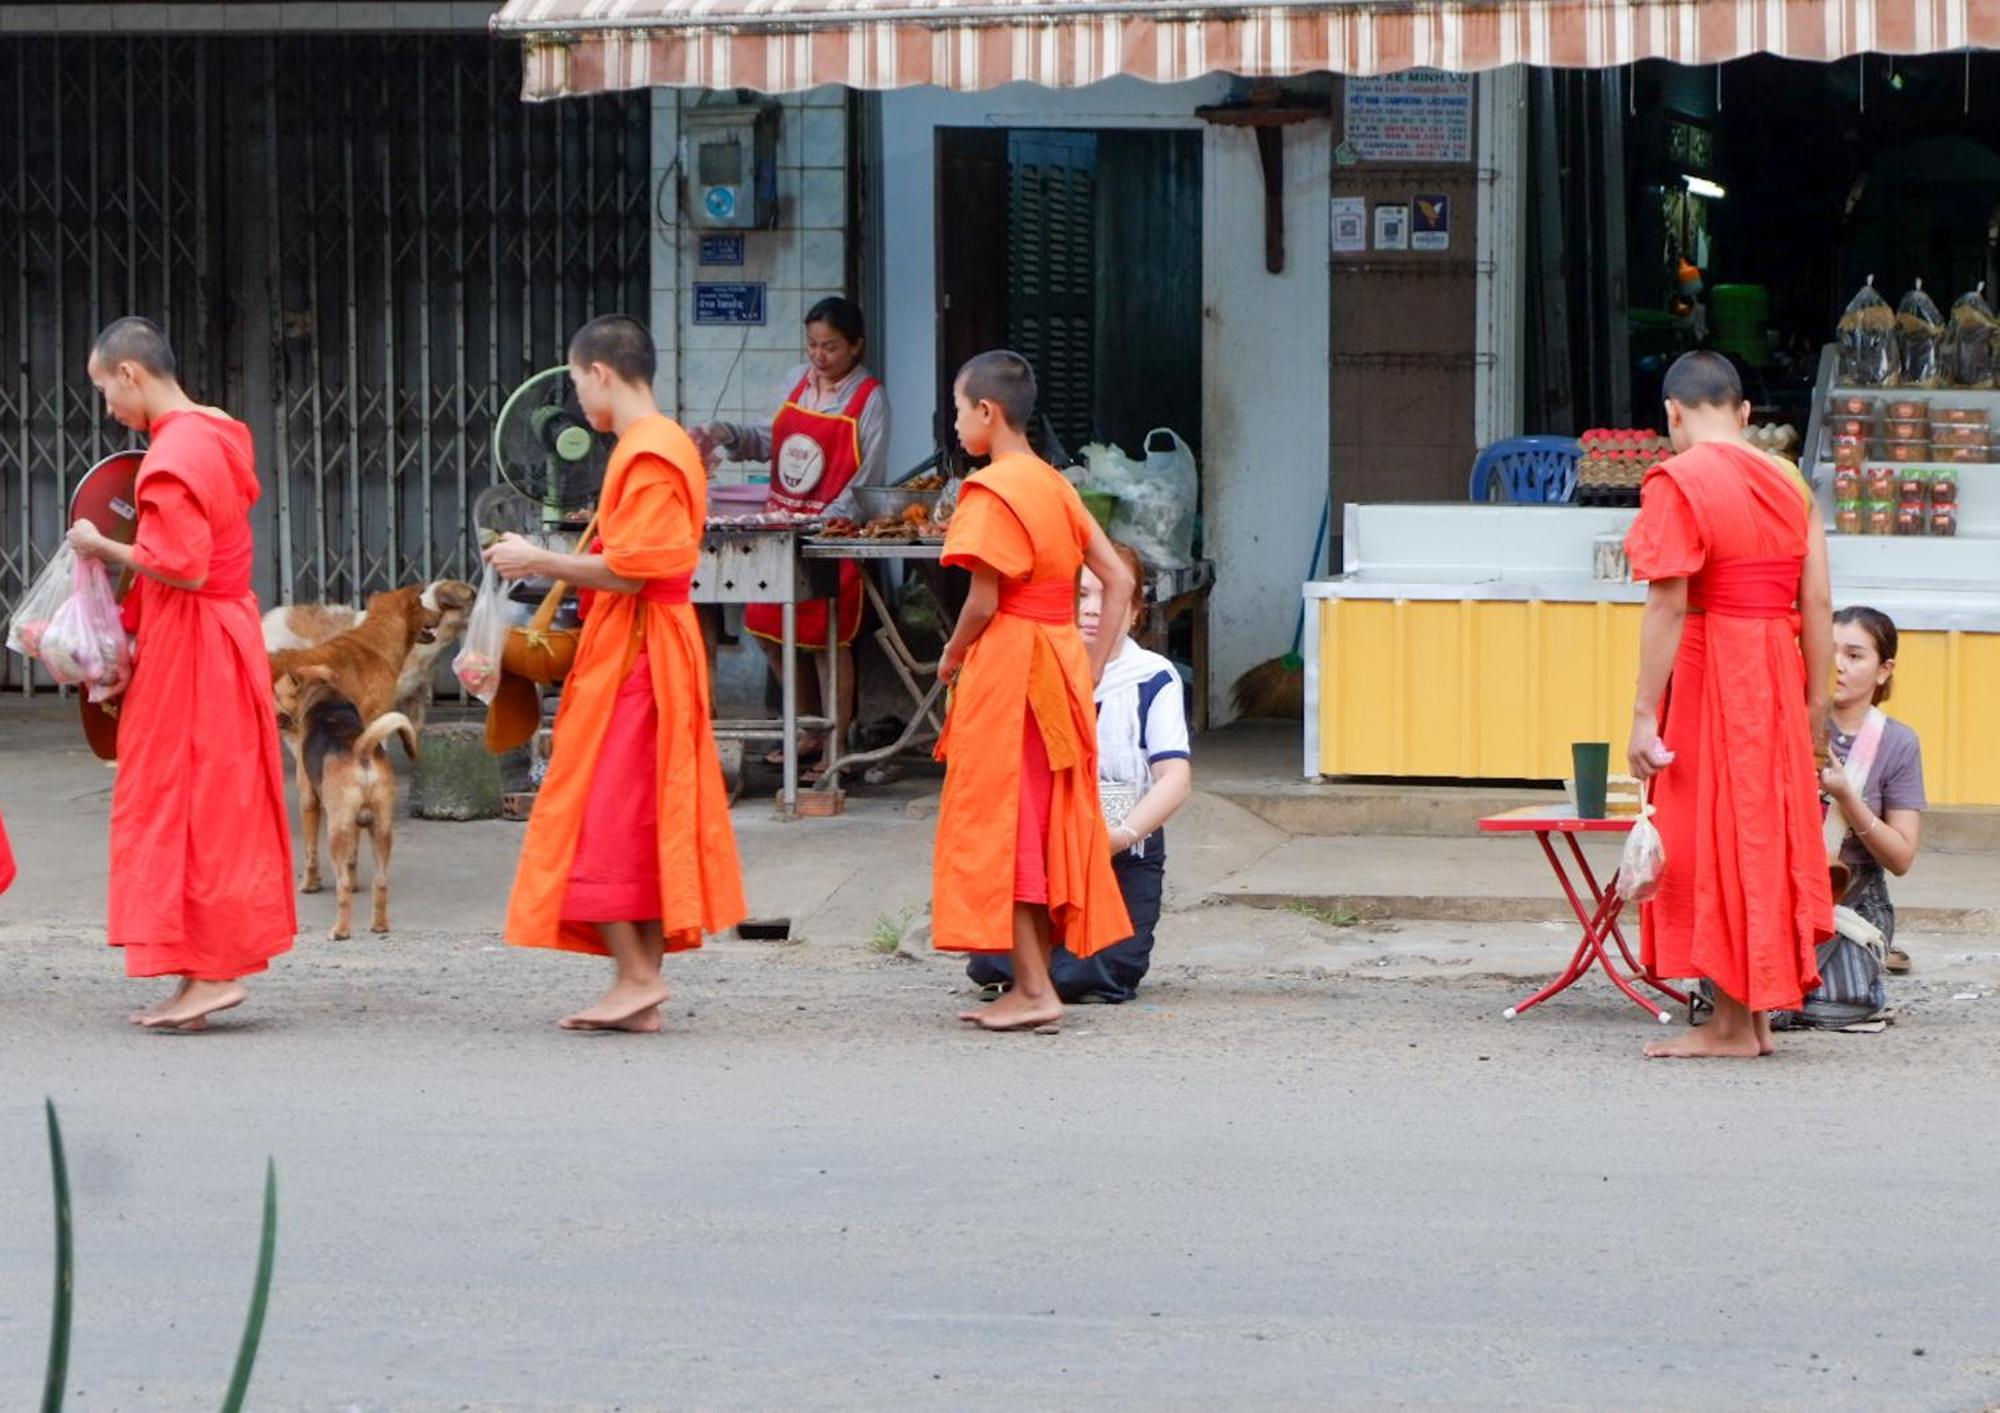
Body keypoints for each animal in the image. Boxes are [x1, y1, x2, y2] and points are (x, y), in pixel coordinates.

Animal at [272, 660, 416, 936]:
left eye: (275, 693)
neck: (324, 696)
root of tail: (362, 750)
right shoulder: (357, 823)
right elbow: (353, 860)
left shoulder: (309, 803)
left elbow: (310, 854)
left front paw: (309, 885)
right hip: (381, 829)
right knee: (380, 882)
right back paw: (379, 925)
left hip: (336, 832)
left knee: (343, 887)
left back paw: (340, 931)